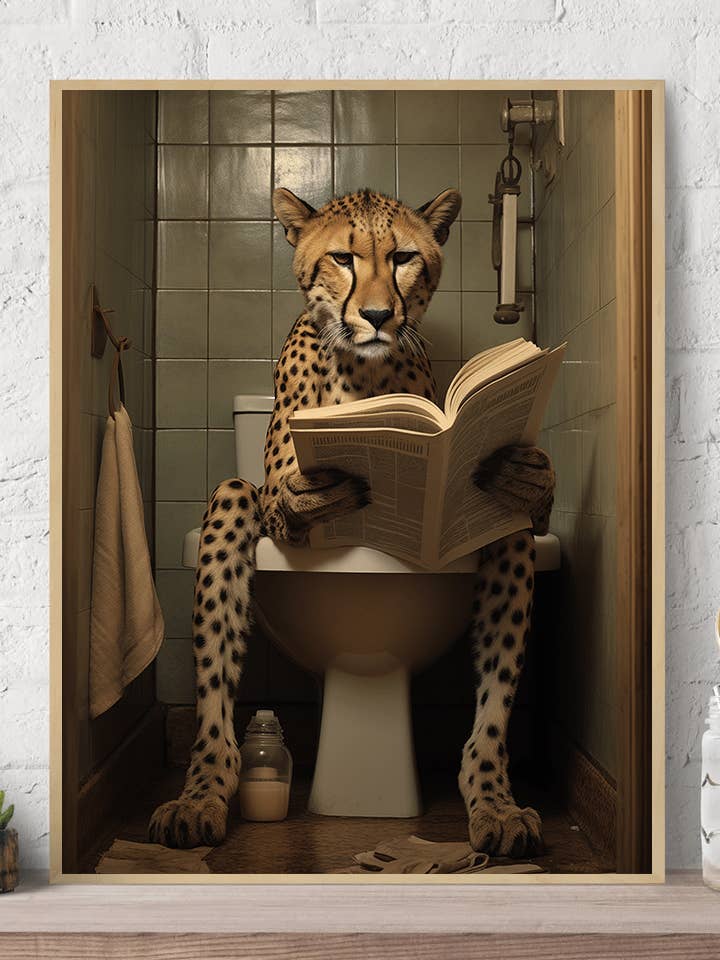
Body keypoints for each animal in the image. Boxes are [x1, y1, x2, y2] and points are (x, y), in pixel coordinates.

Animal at [149, 186, 555, 859]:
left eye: (403, 258)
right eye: (342, 257)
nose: (378, 315)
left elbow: (522, 493)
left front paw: (526, 474)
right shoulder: (280, 501)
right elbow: (288, 497)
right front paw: (318, 489)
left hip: (500, 544)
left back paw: (496, 804)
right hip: (231, 507)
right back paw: (199, 798)